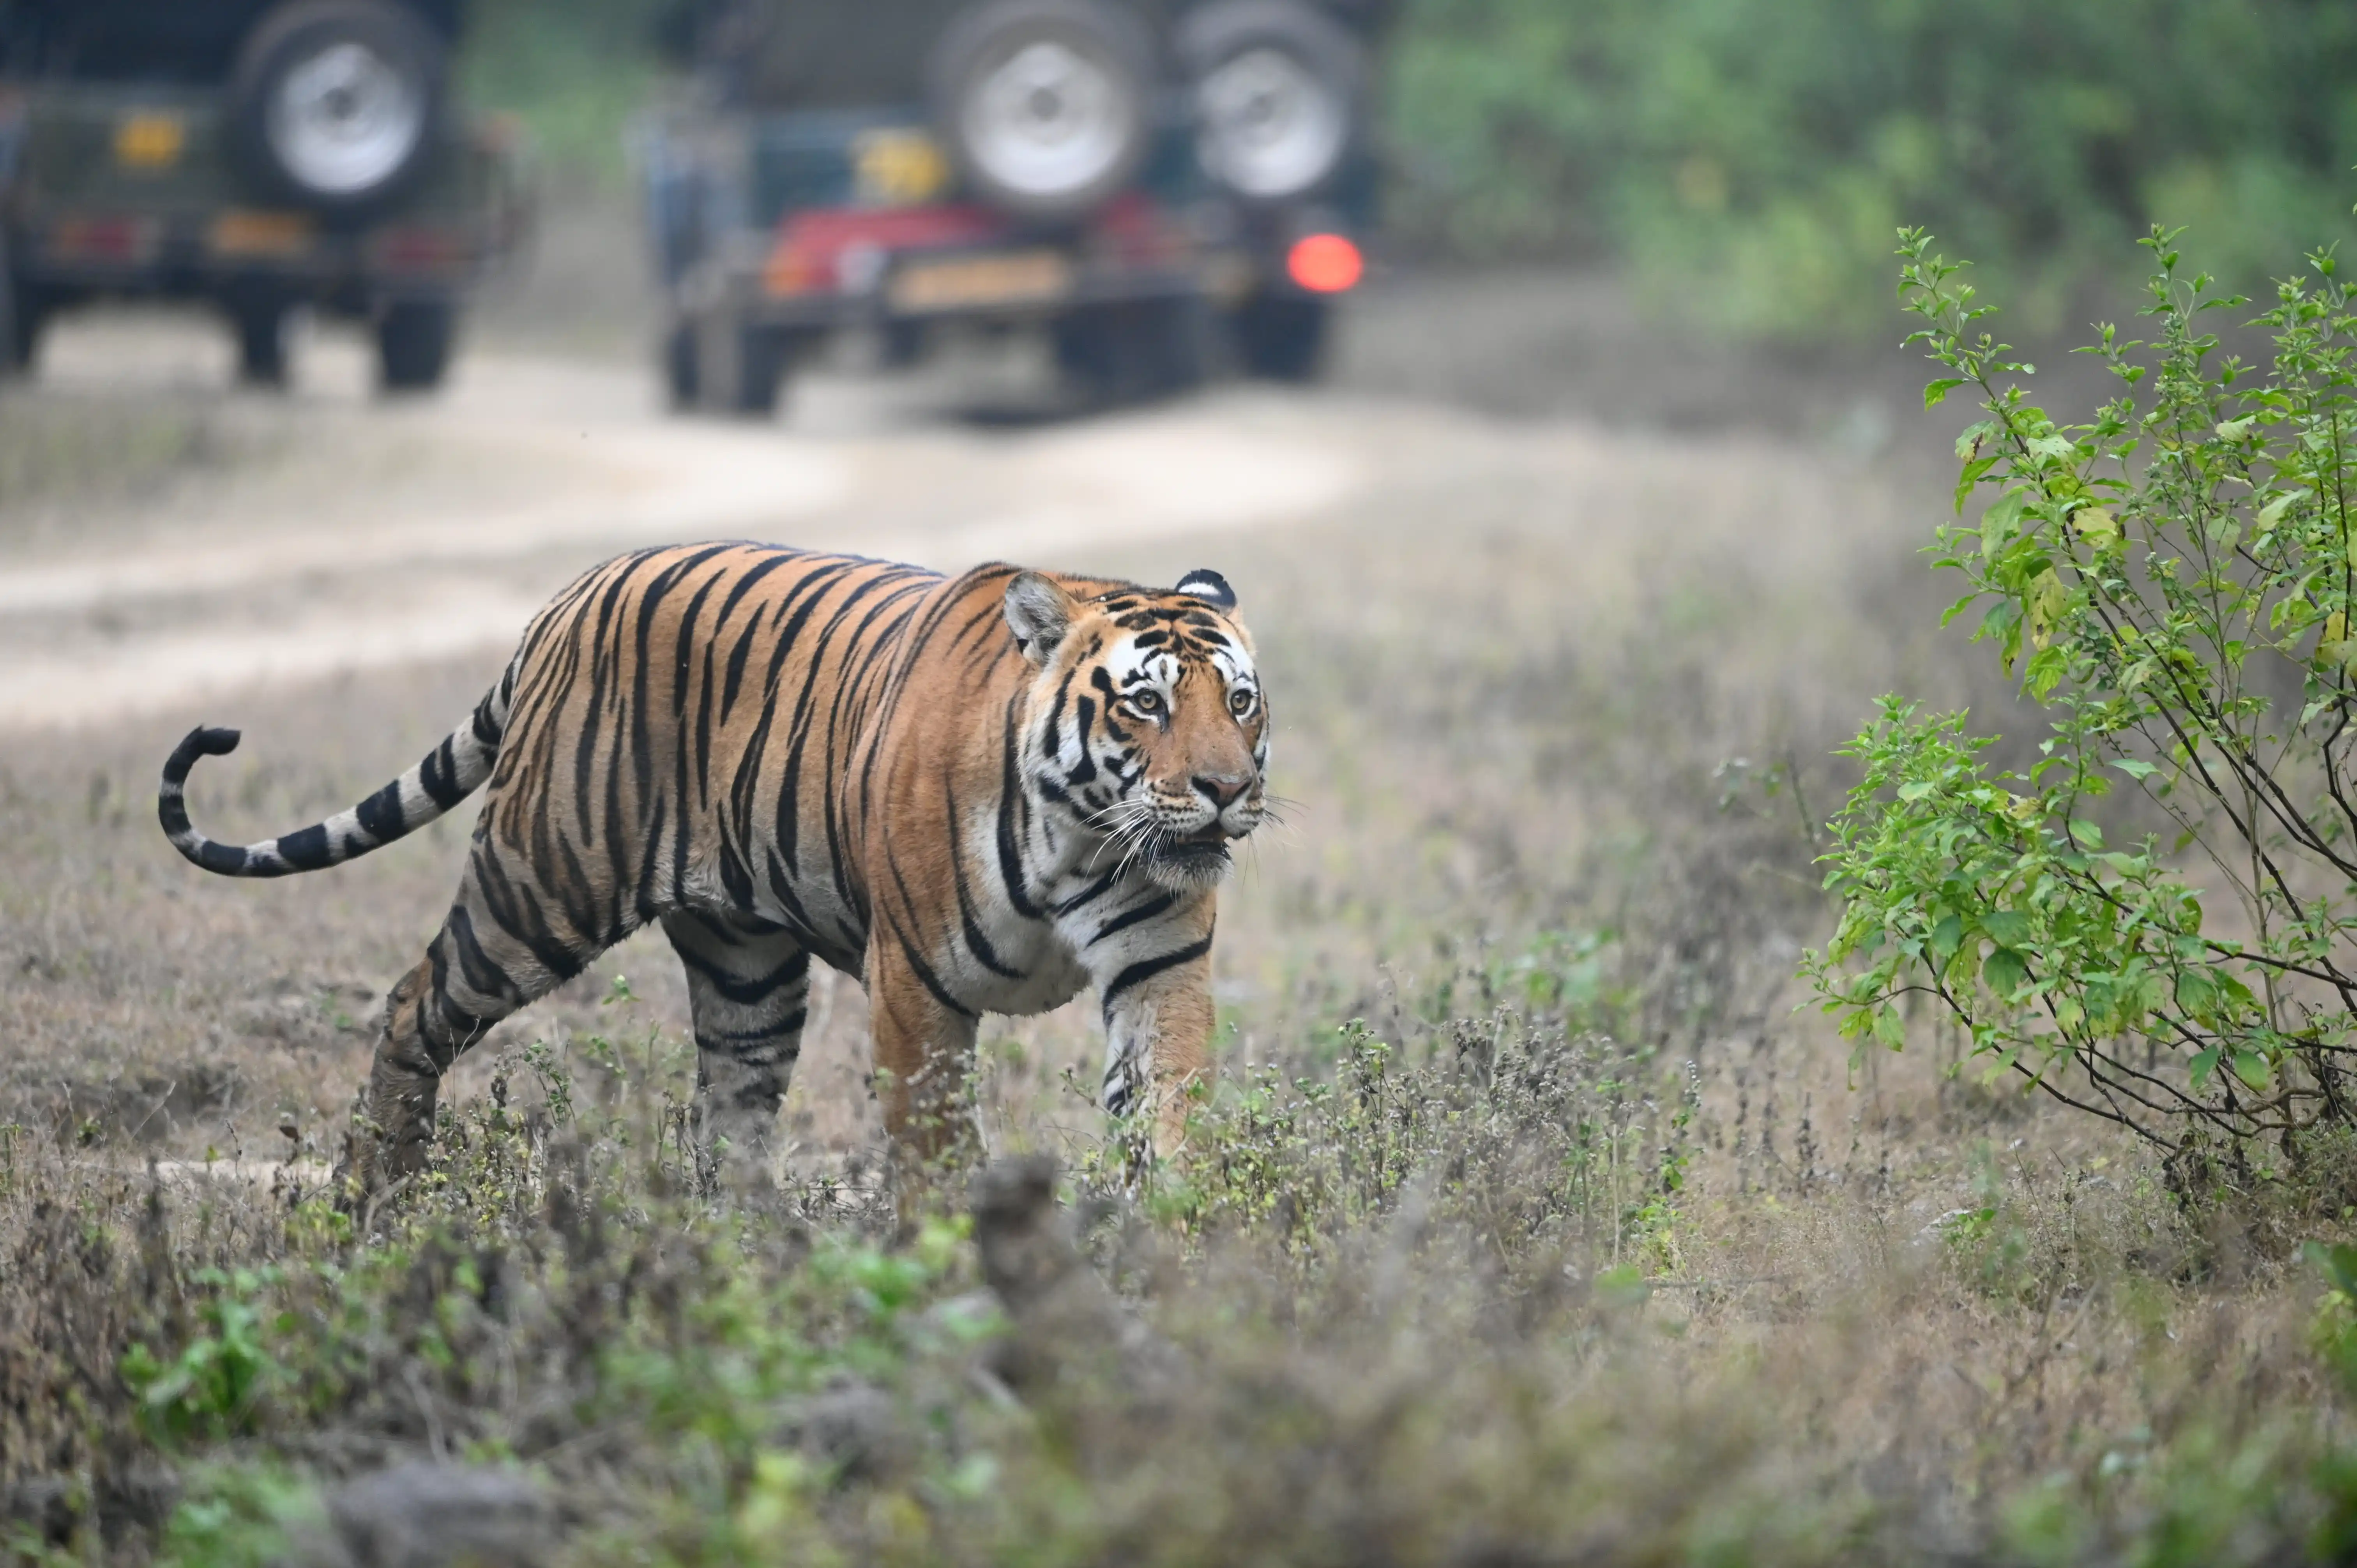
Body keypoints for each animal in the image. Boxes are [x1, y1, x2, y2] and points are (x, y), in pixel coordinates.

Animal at [156, 543, 1269, 1190]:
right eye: (1146, 703)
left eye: (1239, 701)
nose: (1226, 788)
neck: (1083, 832)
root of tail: (570, 594)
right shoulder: (915, 985)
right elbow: (934, 1144)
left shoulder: (1156, 966)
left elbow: (1168, 1115)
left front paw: (1171, 1263)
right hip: (535, 888)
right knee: (408, 1011)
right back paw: (372, 1202)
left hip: (747, 973)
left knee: (726, 1122)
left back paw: (744, 1257)